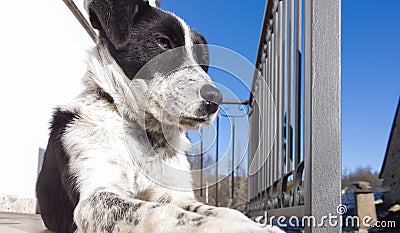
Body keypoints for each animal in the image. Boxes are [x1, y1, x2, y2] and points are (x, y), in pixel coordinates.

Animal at [35, 0, 284, 232]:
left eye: (202, 60)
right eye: (163, 42)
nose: (215, 99)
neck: (144, 134)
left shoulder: (172, 193)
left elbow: (218, 210)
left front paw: (261, 225)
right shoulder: (95, 197)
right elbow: (163, 212)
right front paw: (233, 228)